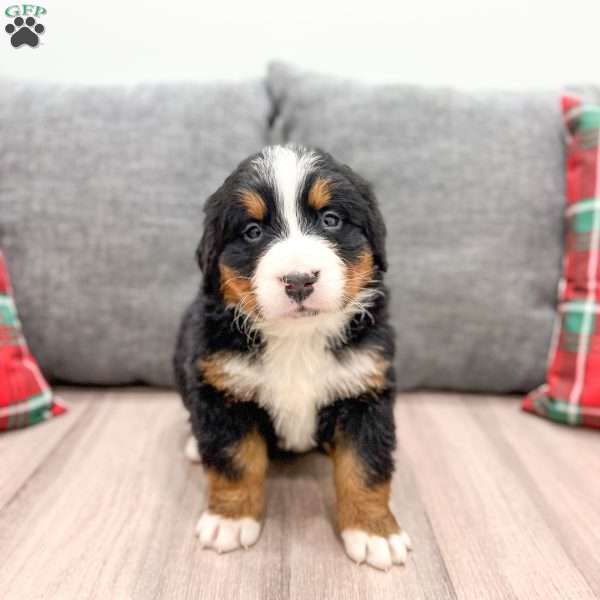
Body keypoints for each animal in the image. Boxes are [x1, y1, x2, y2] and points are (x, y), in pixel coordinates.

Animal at [171, 143, 410, 568]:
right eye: (252, 231)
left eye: (331, 220)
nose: (299, 280)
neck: (298, 339)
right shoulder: (223, 393)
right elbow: (233, 461)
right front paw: (230, 519)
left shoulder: (365, 392)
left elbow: (366, 466)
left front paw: (374, 531)